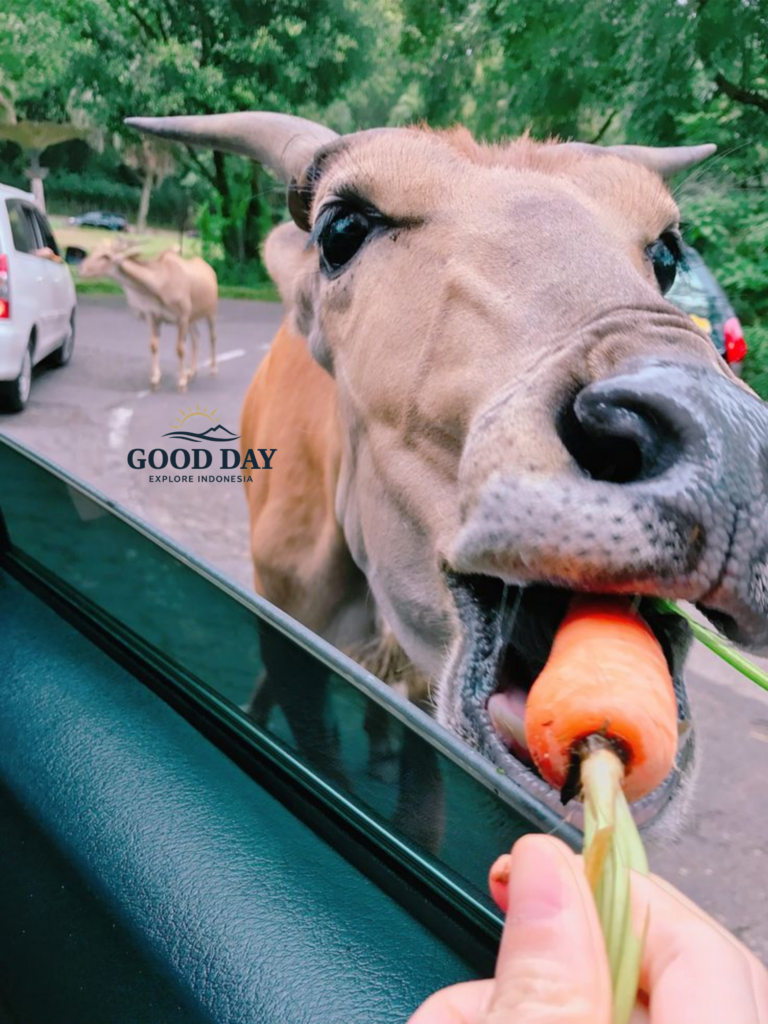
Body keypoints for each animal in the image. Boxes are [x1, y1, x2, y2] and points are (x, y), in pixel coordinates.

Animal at [79, 242, 218, 392]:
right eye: (94, 251)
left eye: (105, 256)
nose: (81, 269)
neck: (161, 283)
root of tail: (210, 270)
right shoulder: (154, 316)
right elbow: (154, 345)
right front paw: (155, 379)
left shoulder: (182, 317)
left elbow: (180, 349)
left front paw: (181, 382)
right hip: (192, 318)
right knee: (196, 337)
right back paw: (192, 372)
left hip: (211, 313)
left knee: (212, 337)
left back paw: (213, 368)